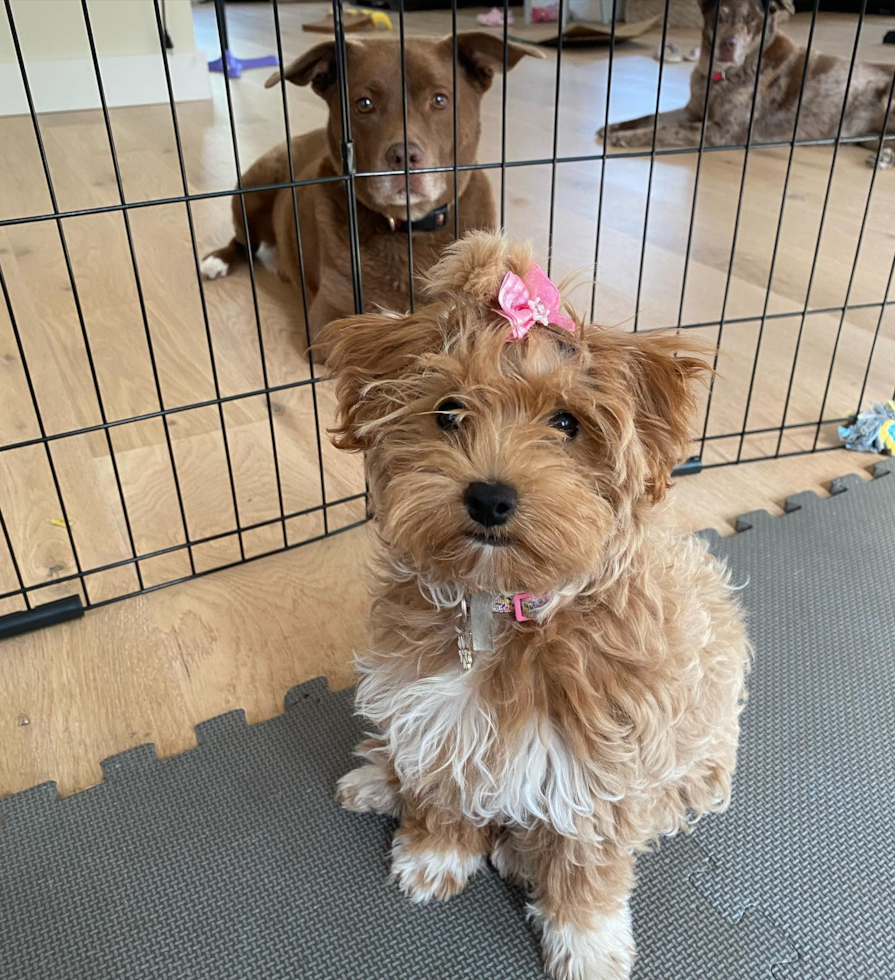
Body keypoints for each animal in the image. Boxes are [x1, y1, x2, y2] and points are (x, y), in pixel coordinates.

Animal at [203, 33, 540, 348]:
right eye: (364, 104)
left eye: (439, 100)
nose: (404, 156)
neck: (410, 232)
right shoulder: (329, 321)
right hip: (254, 187)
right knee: (244, 241)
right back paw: (217, 261)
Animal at [600, 0, 895, 169]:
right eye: (719, 17)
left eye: (751, 20)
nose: (727, 45)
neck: (720, 76)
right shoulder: (693, 111)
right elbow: (652, 117)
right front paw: (614, 127)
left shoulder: (722, 132)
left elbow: (667, 129)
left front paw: (626, 138)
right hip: (868, 135)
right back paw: (884, 157)